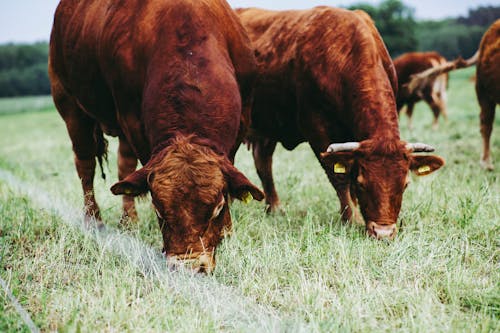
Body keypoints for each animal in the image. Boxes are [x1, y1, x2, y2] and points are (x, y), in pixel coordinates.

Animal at [48, 0, 264, 272]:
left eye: (217, 209)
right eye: (158, 210)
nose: (188, 267)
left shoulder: (244, 116)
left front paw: (226, 229)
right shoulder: (131, 120)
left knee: (123, 165)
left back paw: (129, 221)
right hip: (70, 105)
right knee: (85, 165)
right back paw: (93, 220)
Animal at [236, 7, 444, 239]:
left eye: (405, 184)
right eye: (363, 184)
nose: (383, 232)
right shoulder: (317, 129)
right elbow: (339, 177)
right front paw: (351, 218)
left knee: (263, 162)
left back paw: (274, 208)